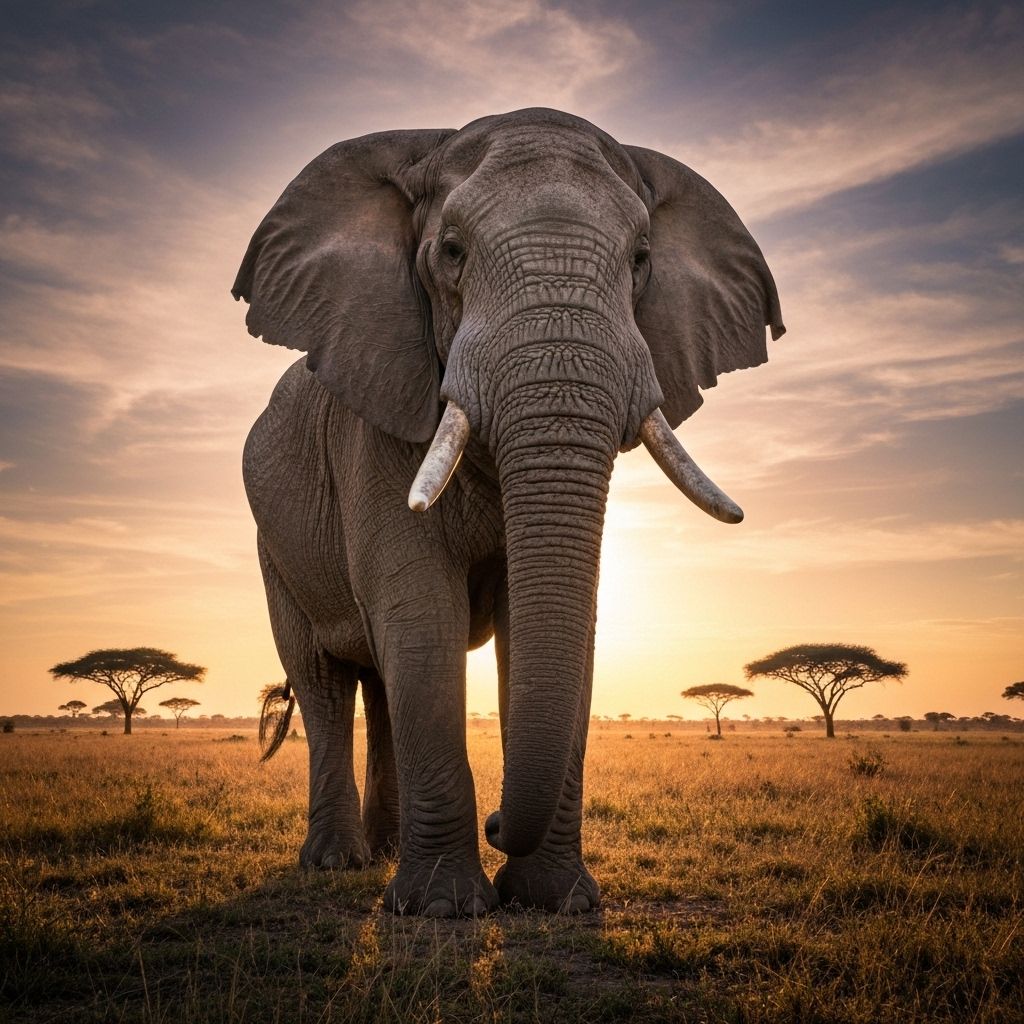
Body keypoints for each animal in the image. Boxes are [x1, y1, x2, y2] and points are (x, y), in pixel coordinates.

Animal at [234, 107, 784, 917]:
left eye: (642, 258)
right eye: (451, 253)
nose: (498, 822)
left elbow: (544, 627)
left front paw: (557, 902)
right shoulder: (378, 420)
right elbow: (421, 613)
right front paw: (441, 909)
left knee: (381, 684)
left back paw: (385, 854)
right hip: (273, 547)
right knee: (325, 681)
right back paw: (336, 864)